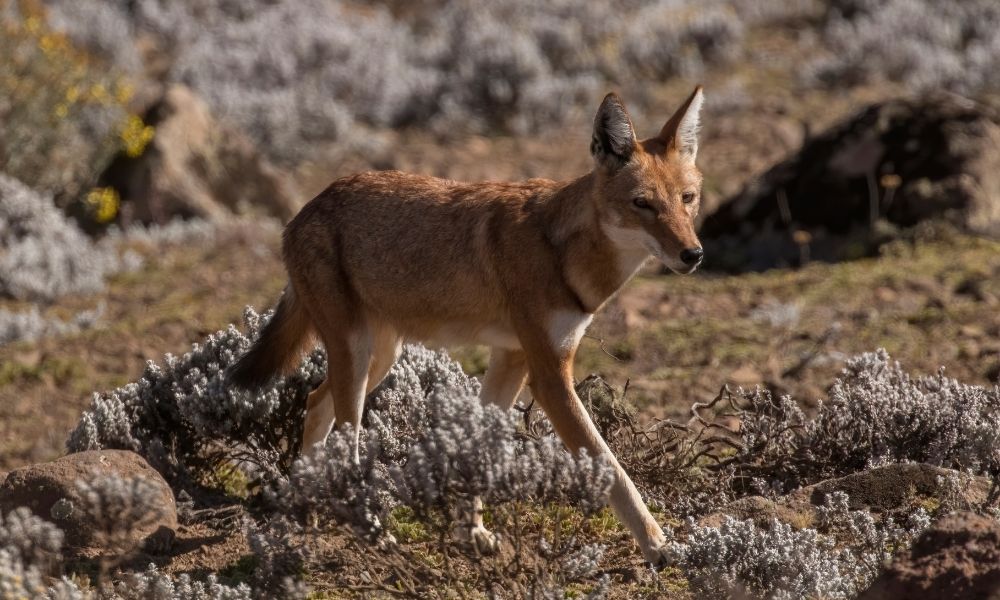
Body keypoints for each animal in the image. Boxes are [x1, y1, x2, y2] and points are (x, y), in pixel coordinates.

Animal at [230, 86, 708, 564]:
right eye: (642, 204)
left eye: (688, 199)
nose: (694, 254)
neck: (562, 252)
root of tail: (304, 209)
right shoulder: (550, 377)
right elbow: (612, 468)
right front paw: (659, 546)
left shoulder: (513, 359)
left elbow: (478, 449)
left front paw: (472, 532)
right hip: (360, 358)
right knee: (345, 442)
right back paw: (372, 531)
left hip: (378, 359)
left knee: (314, 403)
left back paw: (307, 511)